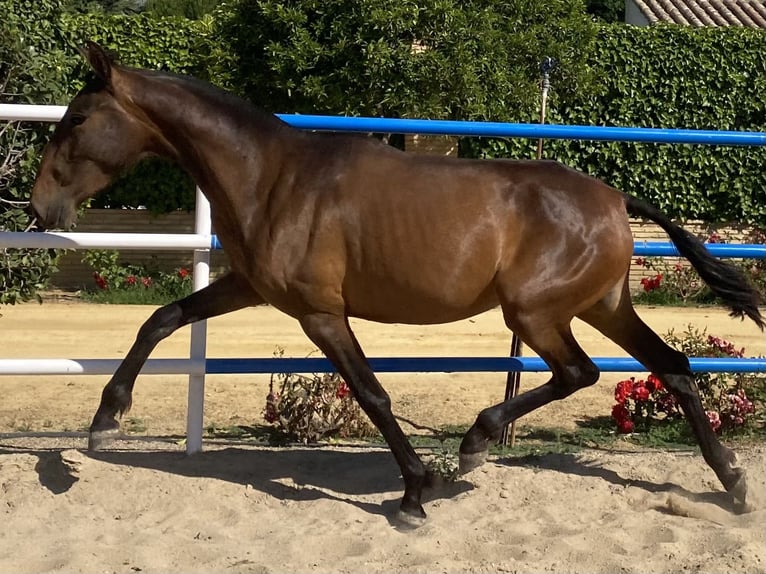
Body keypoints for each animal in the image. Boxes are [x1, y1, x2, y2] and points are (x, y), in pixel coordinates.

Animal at [28, 42, 760, 528]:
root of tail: (615, 199)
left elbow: (373, 394)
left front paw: (414, 494)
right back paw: (732, 483)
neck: (274, 177)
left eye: (77, 121)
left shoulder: (320, 313)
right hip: (603, 306)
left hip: (534, 313)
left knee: (581, 372)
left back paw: (474, 445)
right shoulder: (253, 288)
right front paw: (104, 424)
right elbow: (163, 317)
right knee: (674, 365)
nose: (40, 209)